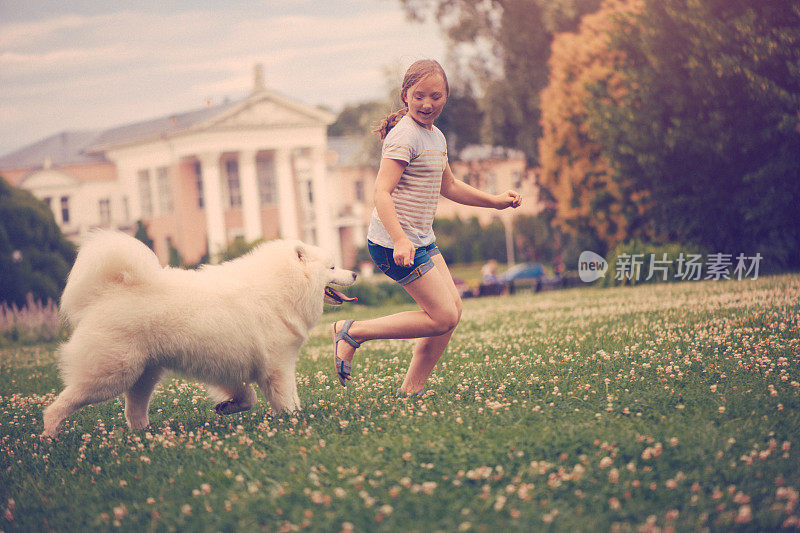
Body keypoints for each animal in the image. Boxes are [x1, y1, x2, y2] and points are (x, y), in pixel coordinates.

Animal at [43, 230, 356, 436]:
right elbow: (286, 398)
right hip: (111, 374)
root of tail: (107, 292)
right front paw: (294, 420)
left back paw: (145, 436)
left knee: (134, 410)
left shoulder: (231, 366)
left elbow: (248, 397)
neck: (282, 286)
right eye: (332, 266)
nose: (354, 273)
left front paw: (227, 406)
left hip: (145, 374)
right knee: (63, 403)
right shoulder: (277, 365)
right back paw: (49, 435)